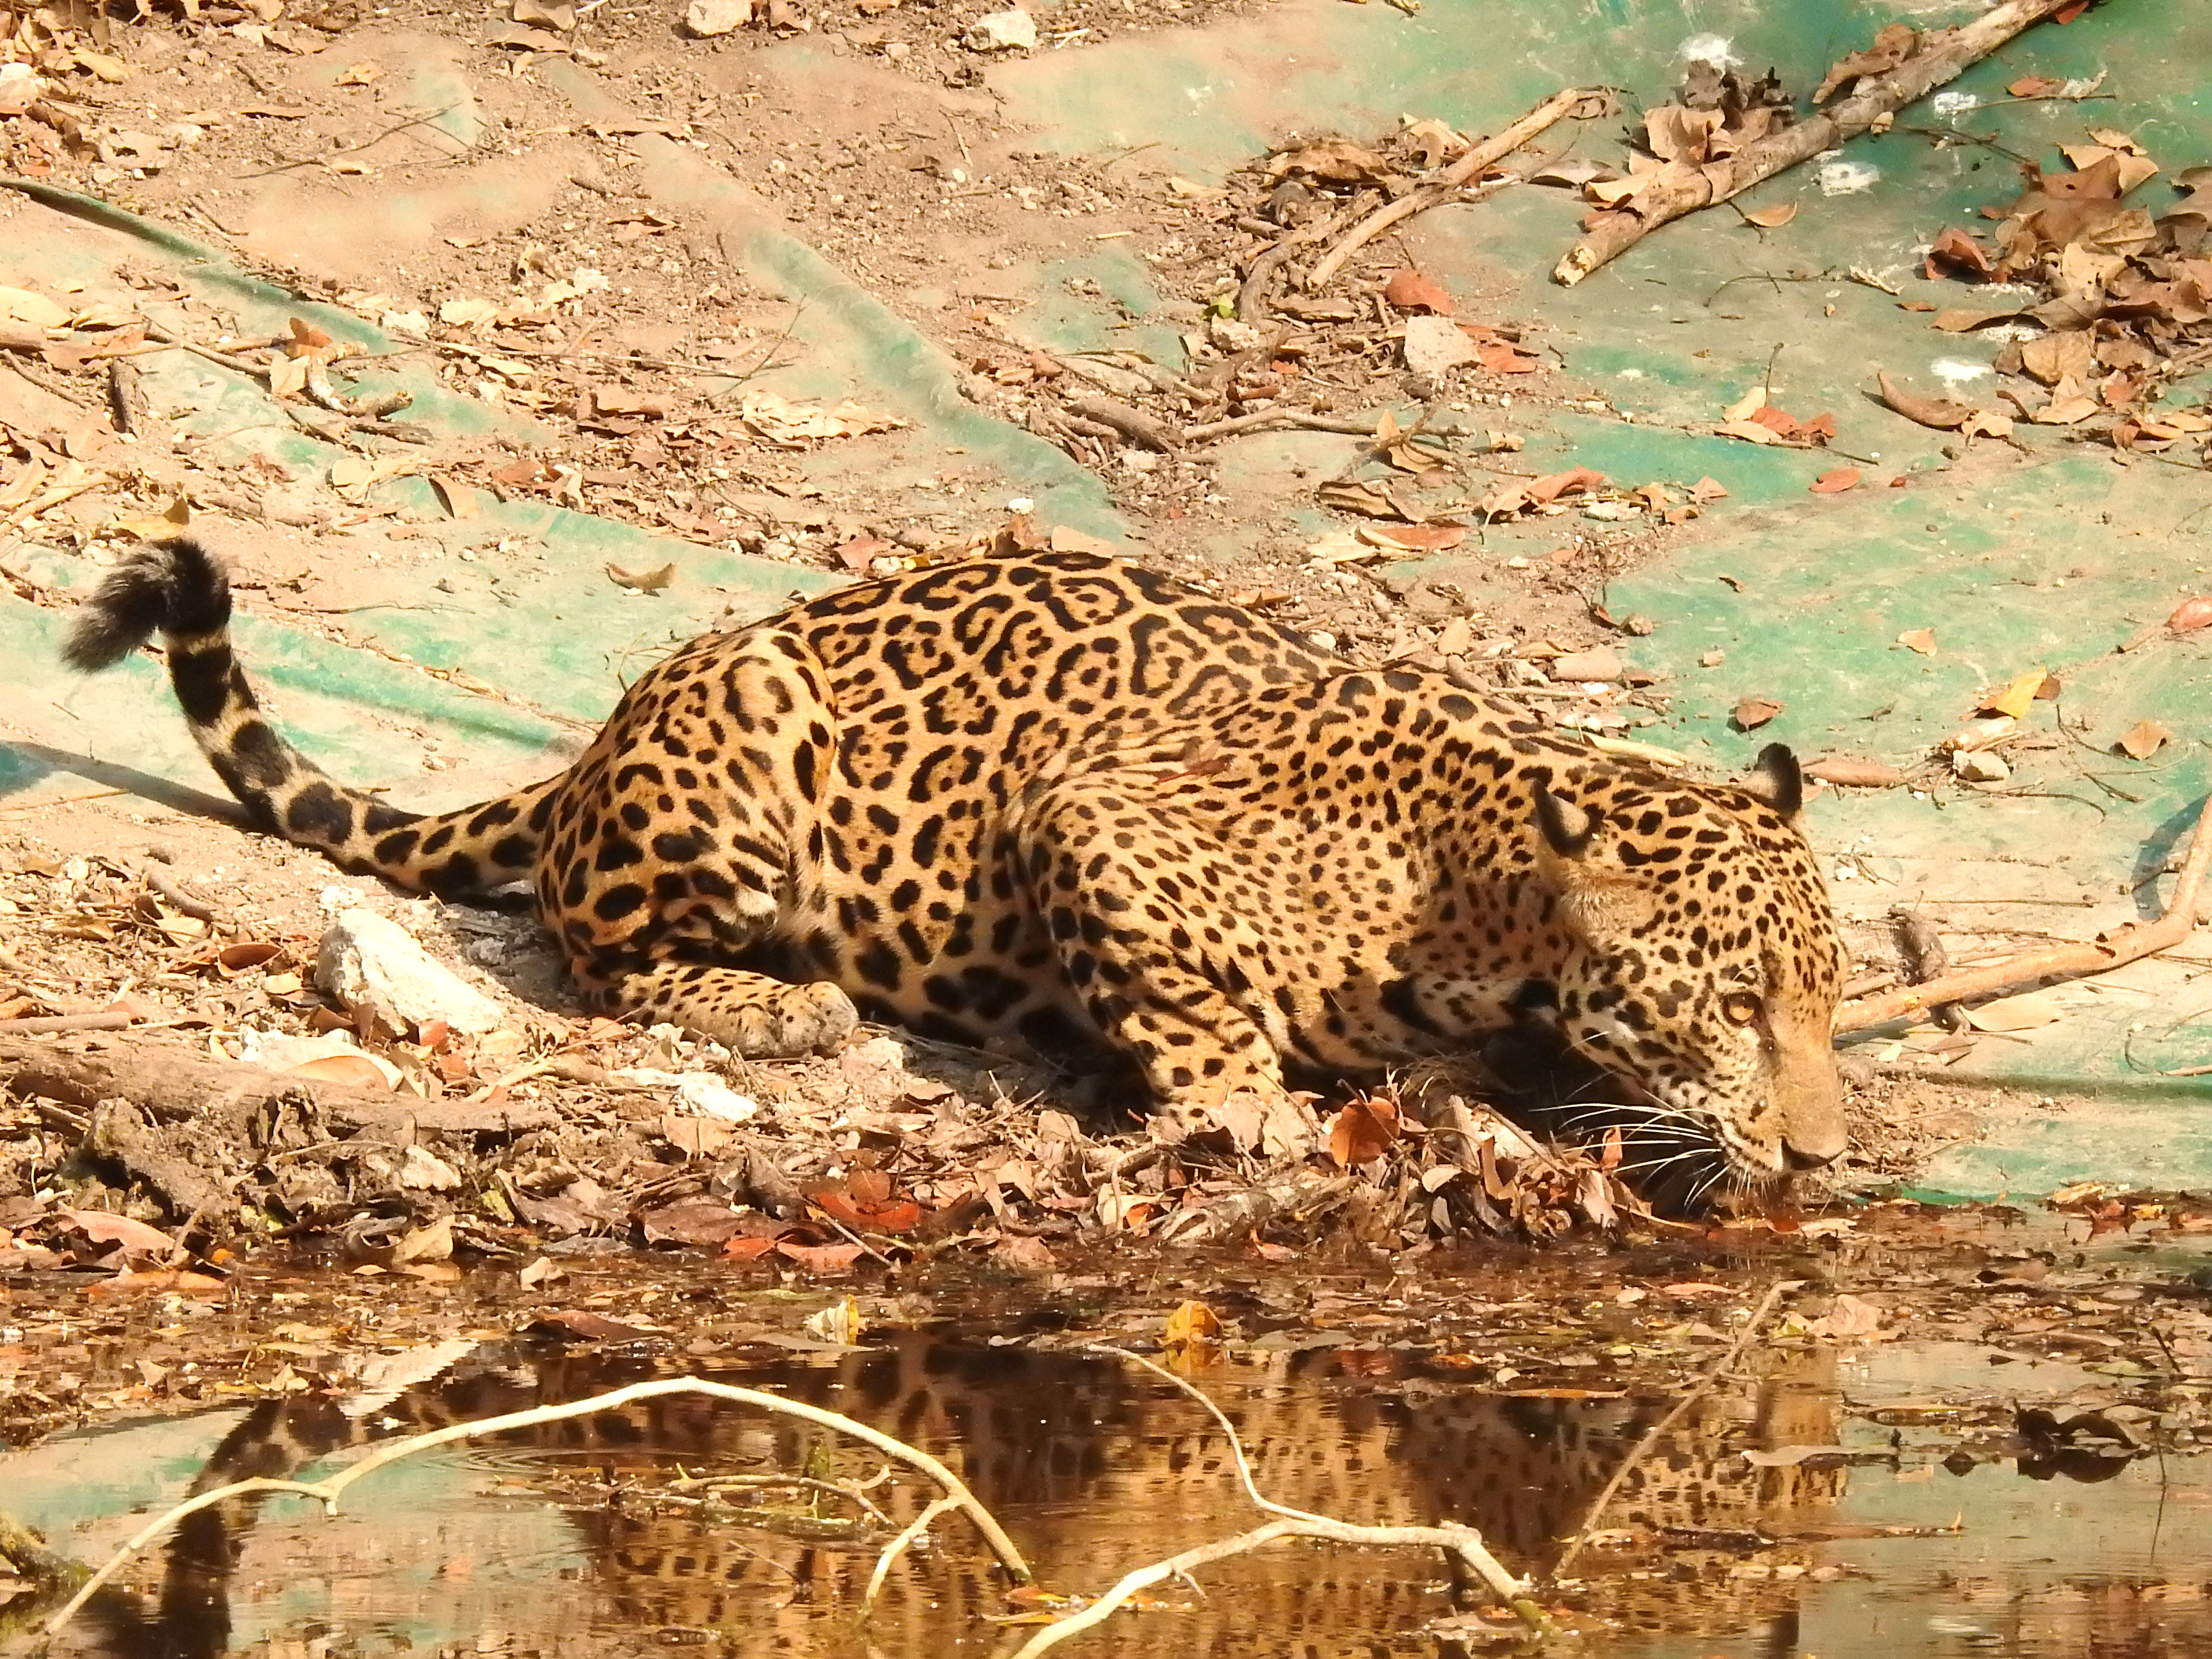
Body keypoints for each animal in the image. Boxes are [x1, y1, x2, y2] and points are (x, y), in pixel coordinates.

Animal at [62, 537, 1847, 1184]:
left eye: (1830, 1005)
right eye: (1733, 1007)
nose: (1829, 1163)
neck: (1479, 892)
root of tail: (587, 752)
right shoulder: (1097, 824)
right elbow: (1199, 1017)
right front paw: (1250, 1112)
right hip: (742, 745)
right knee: (596, 943)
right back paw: (781, 1008)